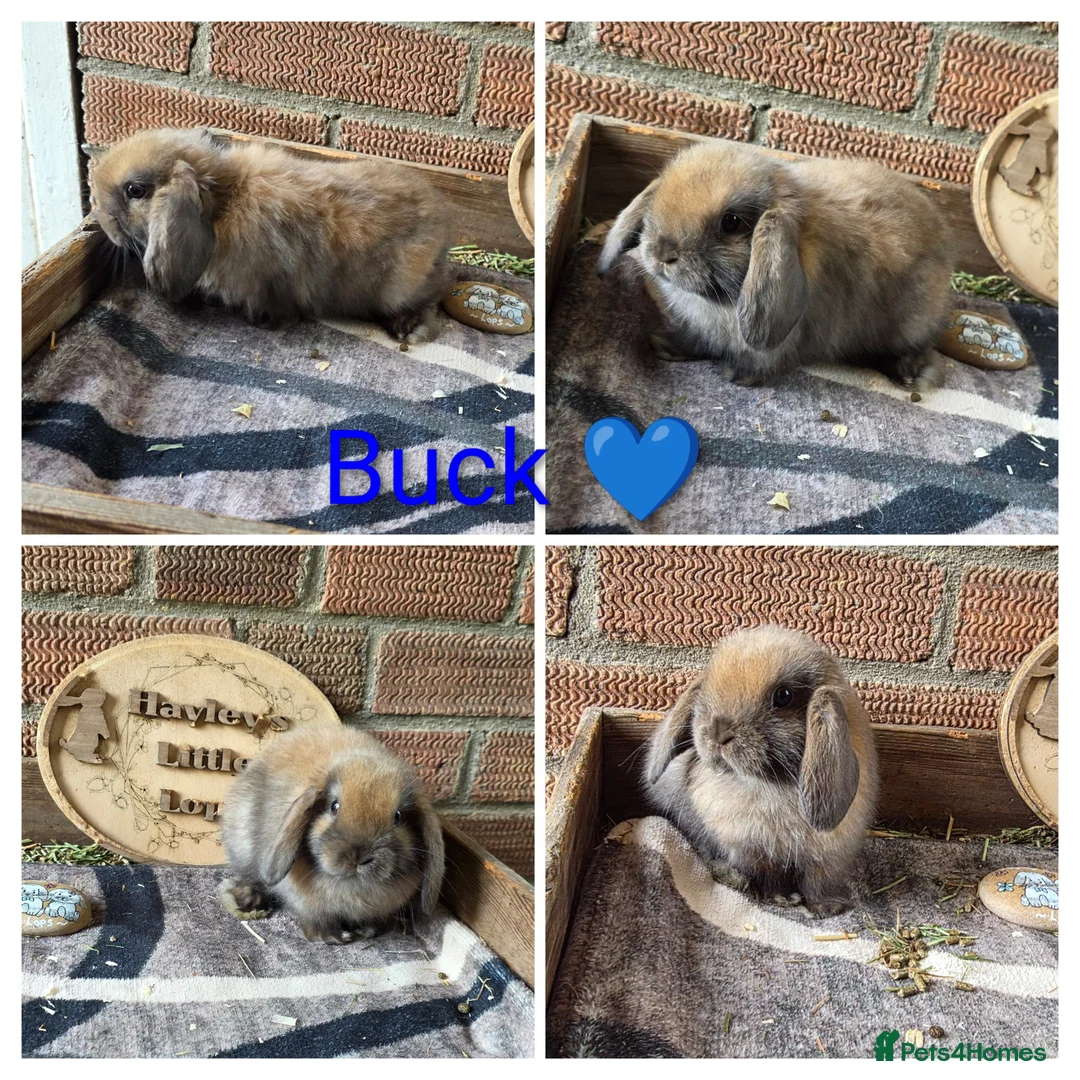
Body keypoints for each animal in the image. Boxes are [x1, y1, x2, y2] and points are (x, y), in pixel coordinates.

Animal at [90, 127, 450, 341]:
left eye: (135, 190)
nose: (102, 222)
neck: (224, 202)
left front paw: (260, 321)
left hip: (401, 289)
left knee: (434, 296)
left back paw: (407, 326)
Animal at [219, 725, 445, 944]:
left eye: (397, 816)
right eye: (334, 806)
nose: (357, 857)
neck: (350, 885)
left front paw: (363, 930)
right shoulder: (305, 903)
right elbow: (314, 921)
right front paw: (332, 937)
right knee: (250, 878)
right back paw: (248, 903)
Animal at [598, 139, 953, 387]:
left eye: (731, 222)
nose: (662, 254)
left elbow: (765, 360)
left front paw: (739, 375)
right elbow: (697, 340)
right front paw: (665, 345)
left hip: (912, 323)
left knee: (920, 346)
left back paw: (907, 373)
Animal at [644, 626, 879, 916]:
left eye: (783, 696)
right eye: (708, 685)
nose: (718, 732)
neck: (769, 783)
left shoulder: (828, 856)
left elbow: (818, 881)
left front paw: (829, 907)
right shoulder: (751, 850)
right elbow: (769, 876)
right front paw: (782, 898)